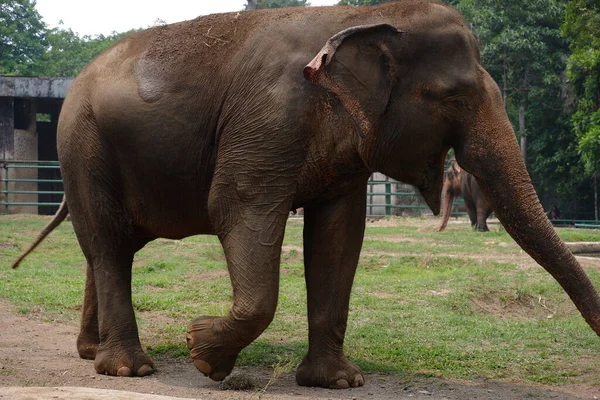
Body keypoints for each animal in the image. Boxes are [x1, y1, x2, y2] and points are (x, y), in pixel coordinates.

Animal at [10, 0, 600, 390]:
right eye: (453, 98)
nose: (596, 332)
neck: (363, 15)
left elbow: (338, 235)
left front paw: (336, 382)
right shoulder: (269, 117)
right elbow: (237, 207)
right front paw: (203, 353)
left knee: (107, 247)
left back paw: (93, 354)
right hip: (82, 146)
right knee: (108, 243)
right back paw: (128, 369)